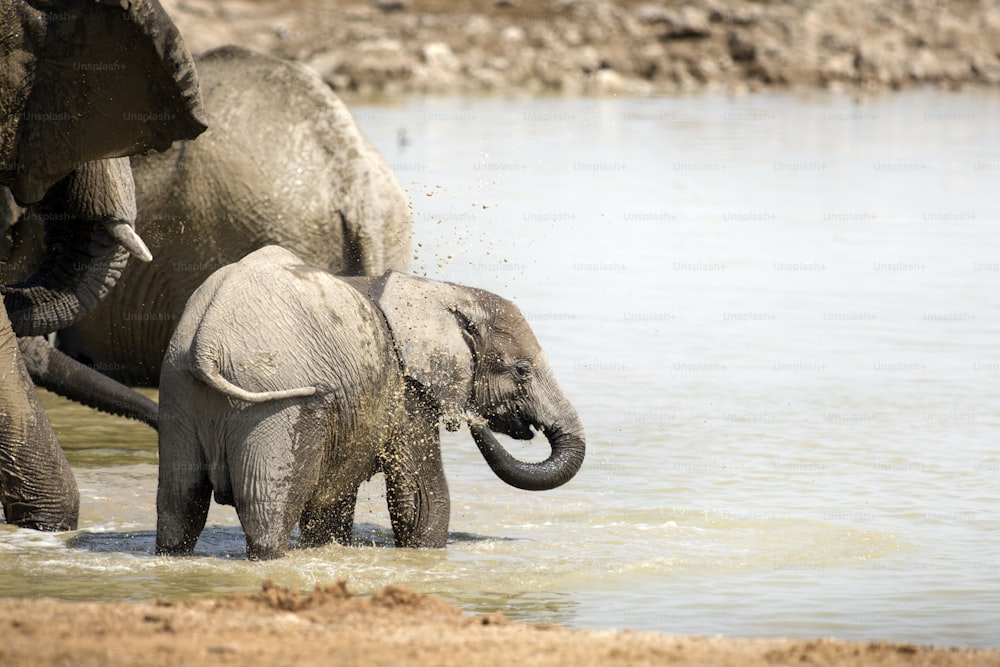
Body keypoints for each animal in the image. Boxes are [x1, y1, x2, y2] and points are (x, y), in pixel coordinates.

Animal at [156, 245, 584, 560]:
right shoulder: (406, 391)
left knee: (179, 505)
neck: (442, 290)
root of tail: (208, 338)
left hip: (178, 392)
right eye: (522, 370)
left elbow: (333, 504)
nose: (474, 422)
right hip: (275, 410)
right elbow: (422, 500)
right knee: (266, 513)